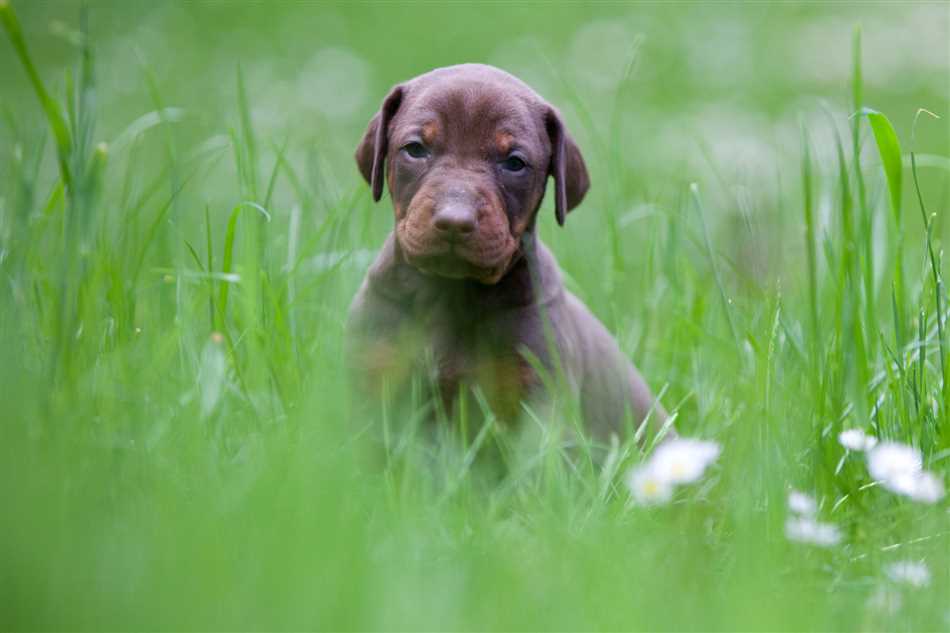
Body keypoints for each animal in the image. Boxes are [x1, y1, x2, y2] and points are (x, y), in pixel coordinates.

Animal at [348, 65, 668, 444]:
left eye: (514, 162)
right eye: (415, 148)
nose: (455, 221)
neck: (450, 292)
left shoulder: (536, 394)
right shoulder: (375, 372)